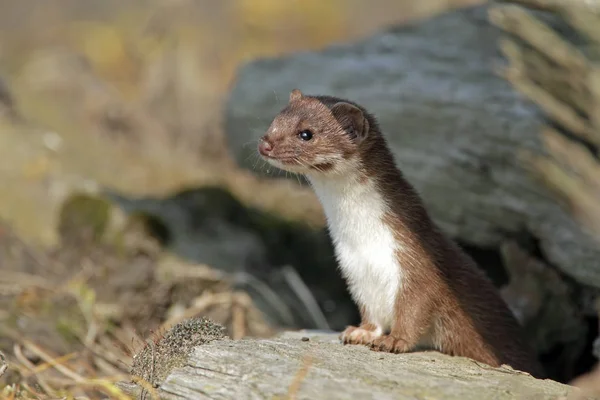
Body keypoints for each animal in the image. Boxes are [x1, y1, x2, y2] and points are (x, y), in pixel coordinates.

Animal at [256, 88, 544, 378]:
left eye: (306, 133)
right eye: (275, 120)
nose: (265, 144)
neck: (362, 240)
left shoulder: (415, 259)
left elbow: (417, 305)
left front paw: (394, 340)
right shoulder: (355, 271)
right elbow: (370, 308)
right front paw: (360, 332)